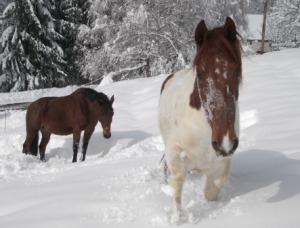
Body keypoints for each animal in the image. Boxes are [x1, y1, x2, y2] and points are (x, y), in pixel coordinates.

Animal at [159, 17, 241, 223]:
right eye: (201, 73)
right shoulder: (175, 151)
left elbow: (211, 192)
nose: (225, 143)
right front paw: (176, 217)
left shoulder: (220, 165)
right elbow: (177, 182)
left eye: (236, 70)